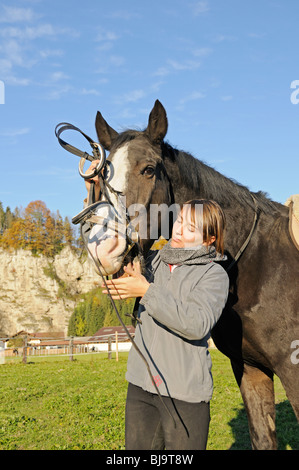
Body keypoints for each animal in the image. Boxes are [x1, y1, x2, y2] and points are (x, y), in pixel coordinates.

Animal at [89, 100, 299, 452]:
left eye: (148, 169)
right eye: (103, 176)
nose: (104, 248)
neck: (261, 264)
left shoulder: (294, 371)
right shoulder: (251, 368)